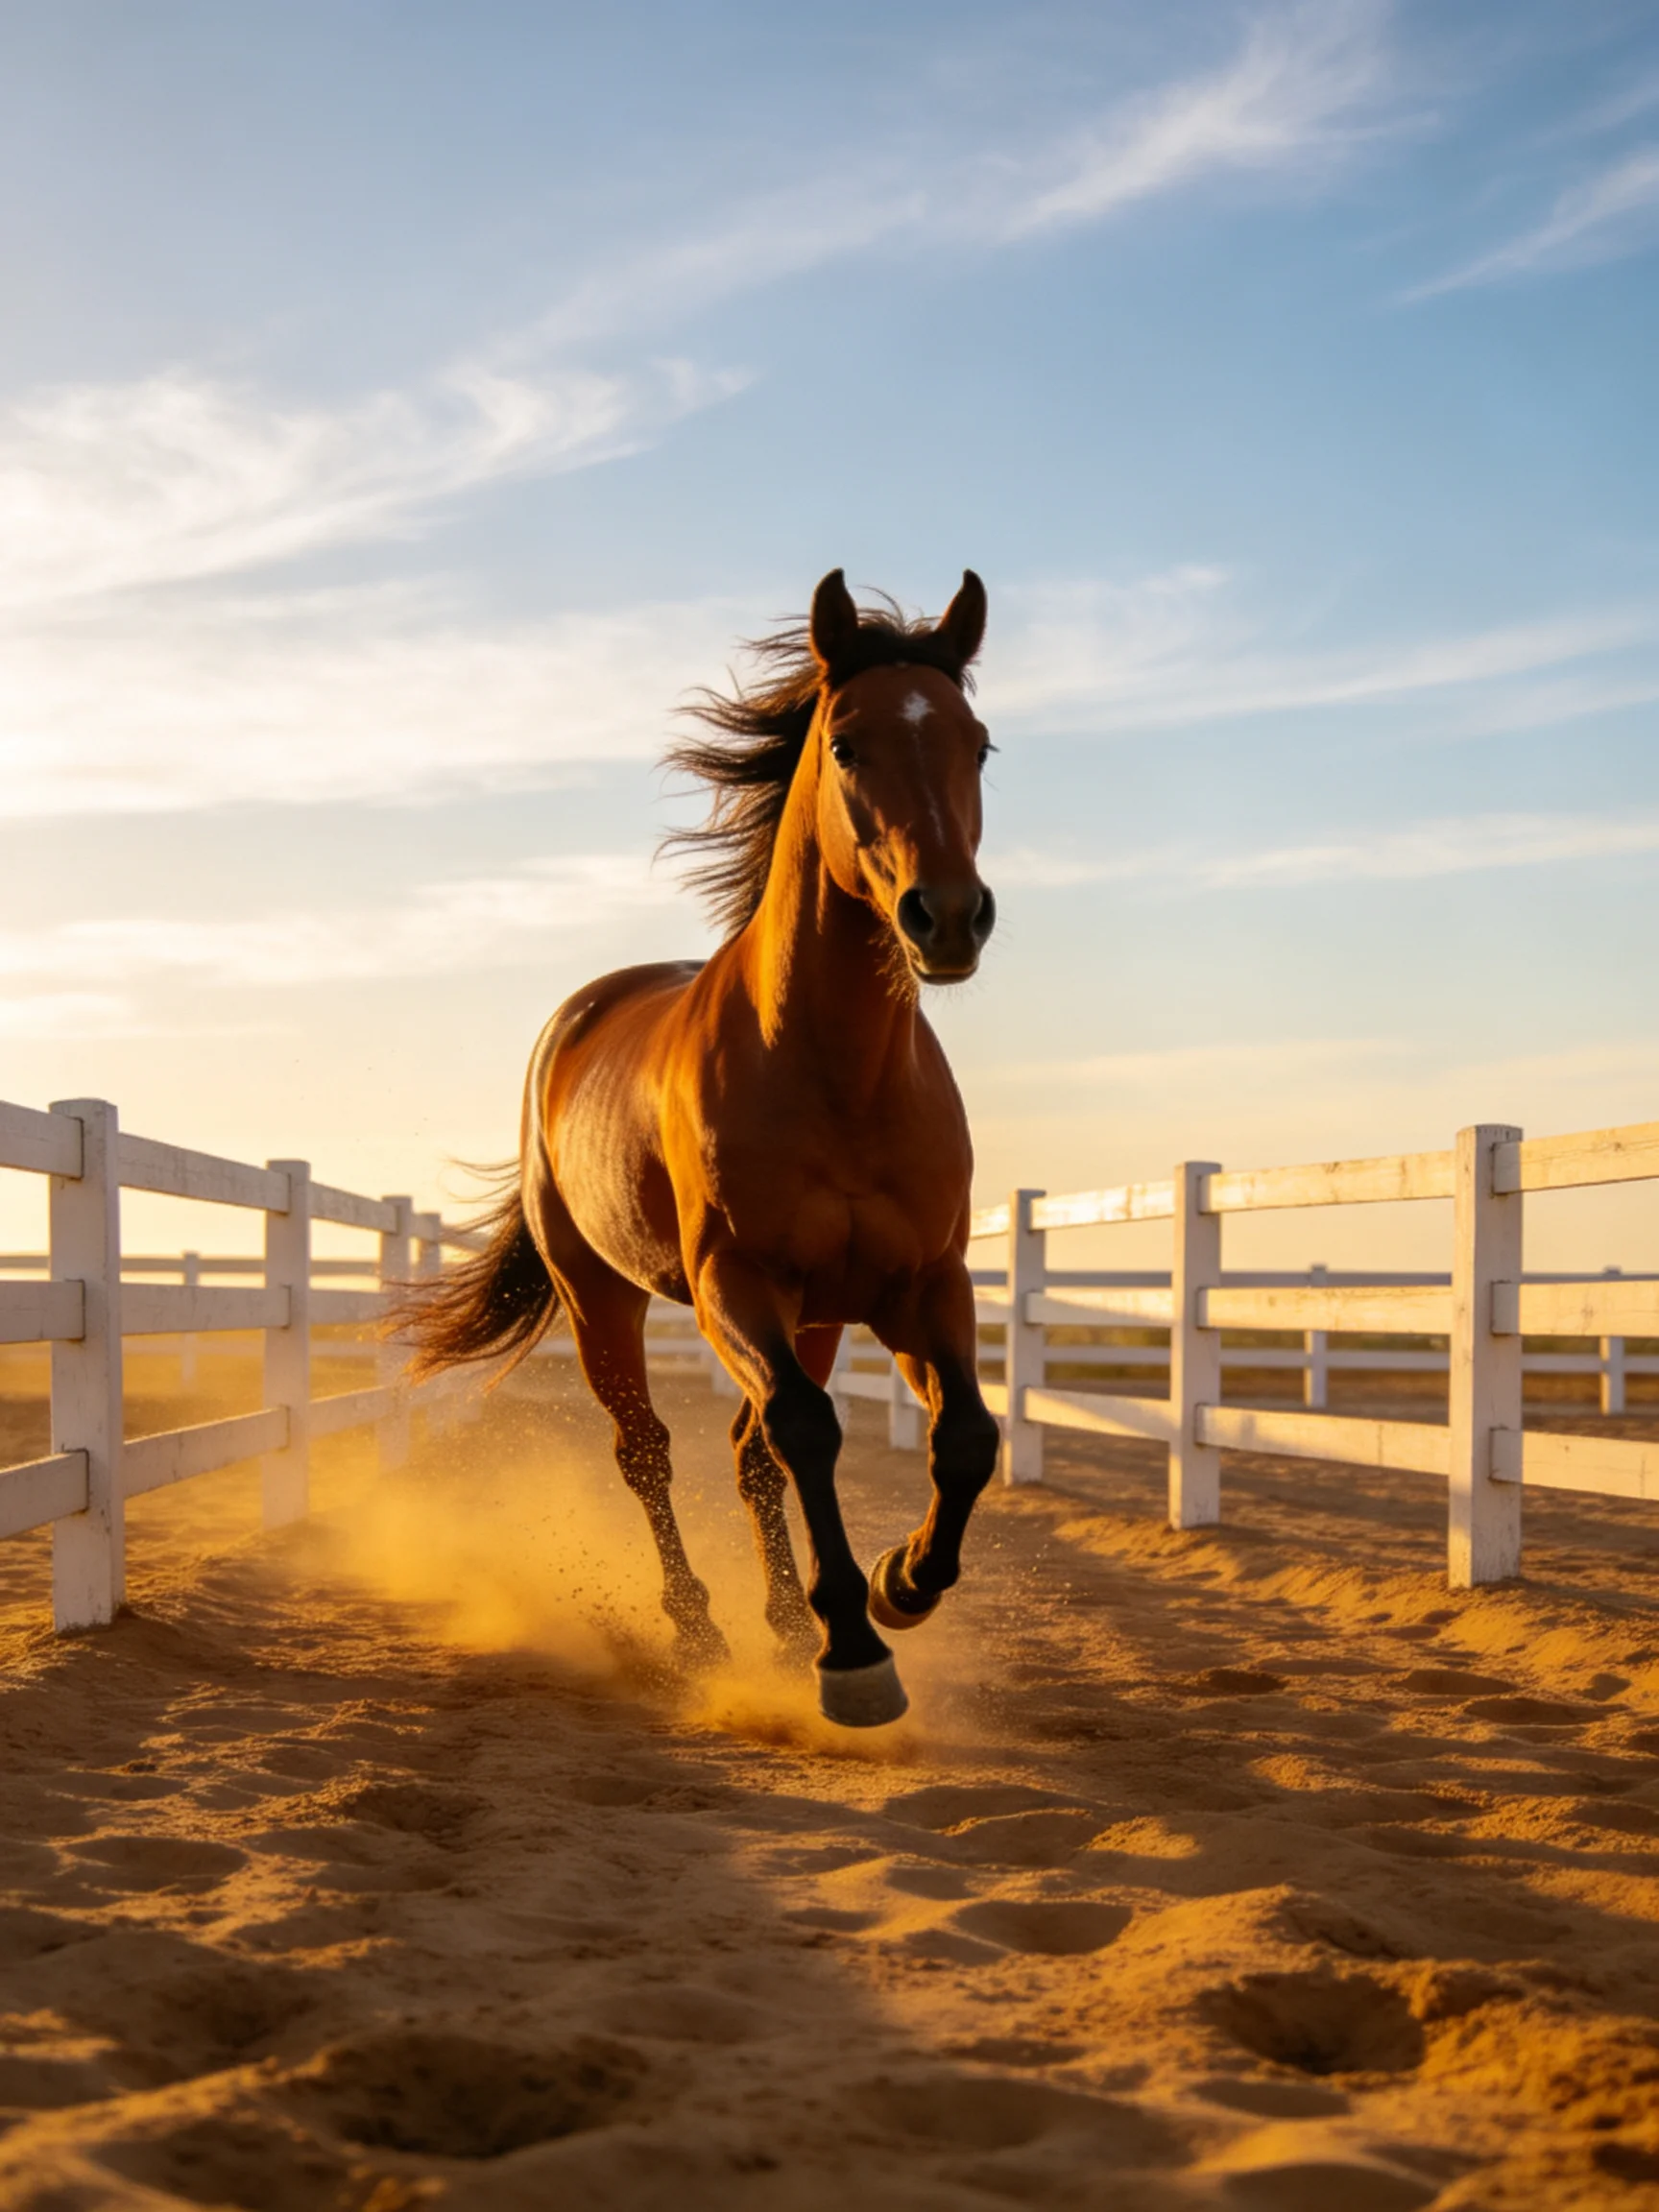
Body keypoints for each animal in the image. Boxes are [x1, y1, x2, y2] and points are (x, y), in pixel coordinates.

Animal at [404, 569, 1002, 1727]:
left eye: (980, 744)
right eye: (848, 742)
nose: (948, 918)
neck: (837, 1072)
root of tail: (575, 1020)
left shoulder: (923, 1286)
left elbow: (965, 1437)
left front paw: (902, 1583)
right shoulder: (736, 1282)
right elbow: (808, 1430)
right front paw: (855, 1652)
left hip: (817, 1314)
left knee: (749, 1452)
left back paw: (782, 1624)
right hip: (604, 1296)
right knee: (653, 1450)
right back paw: (700, 1628)